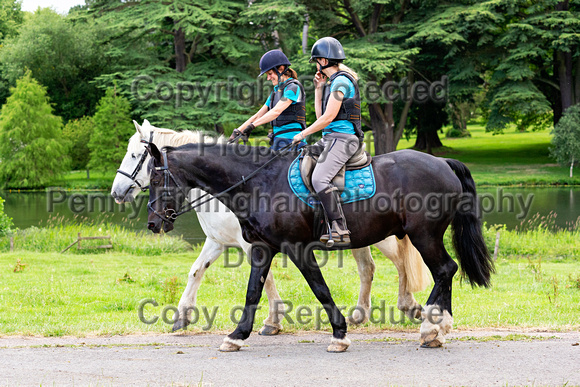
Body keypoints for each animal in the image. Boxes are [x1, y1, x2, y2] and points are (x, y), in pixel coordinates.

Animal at [146, 142, 494, 352]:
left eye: (155, 179)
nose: (152, 223)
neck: (258, 182)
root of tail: (442, 162)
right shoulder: (261, 248)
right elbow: (253, 291)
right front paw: (236, 336)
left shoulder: (298, 248)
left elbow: (320, 289)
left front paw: (339, 334)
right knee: (443, 271)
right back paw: (436, 327)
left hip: (424, 236)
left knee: (444, 269)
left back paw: (431, 328)